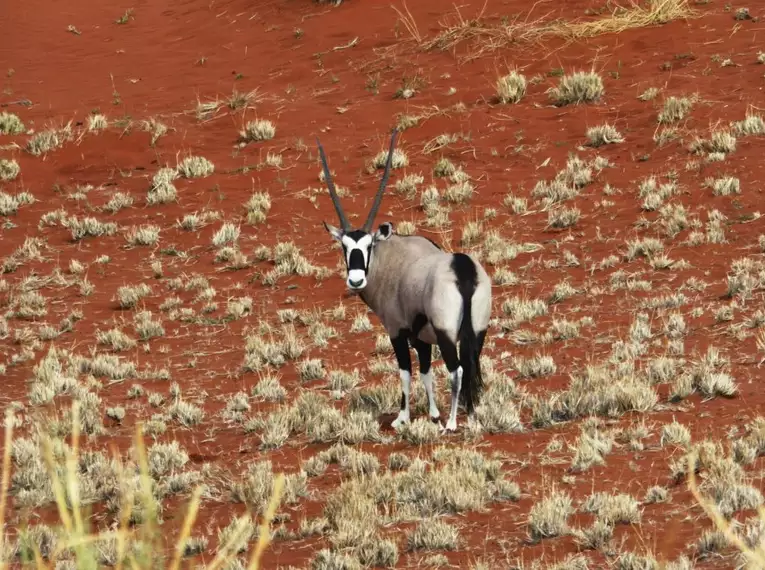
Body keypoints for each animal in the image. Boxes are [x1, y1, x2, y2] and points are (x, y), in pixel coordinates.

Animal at [314, 129, 490, 430]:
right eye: (345, 247)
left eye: (369, 245)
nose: (356, 280)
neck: (392, 259)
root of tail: (463, 268)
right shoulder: (421, 339)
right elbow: (426, 371)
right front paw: (433, 414)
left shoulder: (397, 331)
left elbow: (406, 372)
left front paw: (403, 418)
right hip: (477, 332)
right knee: (471, 367)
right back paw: (471, 415)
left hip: (446, 334)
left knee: (457, 370)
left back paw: (452, 423)